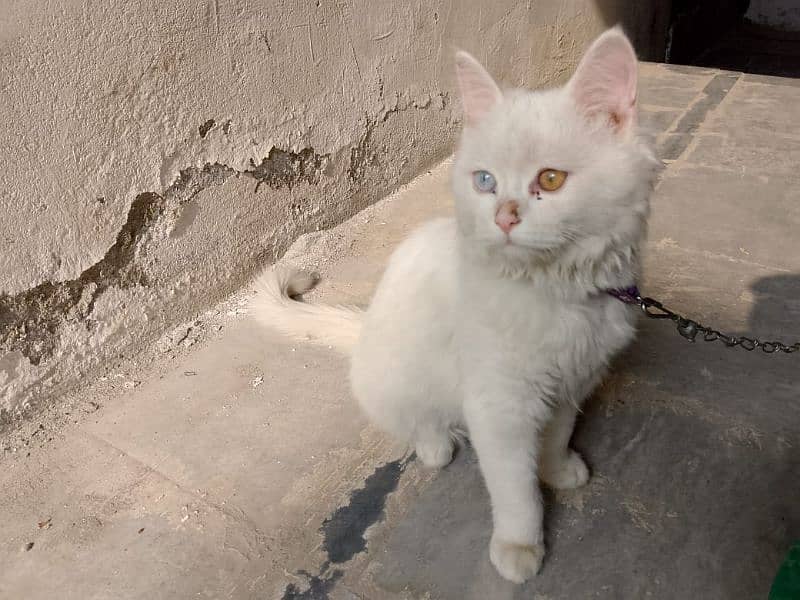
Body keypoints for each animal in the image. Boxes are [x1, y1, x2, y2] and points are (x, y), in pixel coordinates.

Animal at [253, 27, 660, 580]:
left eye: (551, 180)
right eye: (485, 181)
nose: (504, 217)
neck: (557, 291)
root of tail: (364, 329)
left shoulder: (572, 383)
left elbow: (556, 438)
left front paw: (558, 471)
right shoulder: (500, 405)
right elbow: (516, 490)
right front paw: (519, 548)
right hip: (397, 381)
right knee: (416, 422)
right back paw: (436, 446)